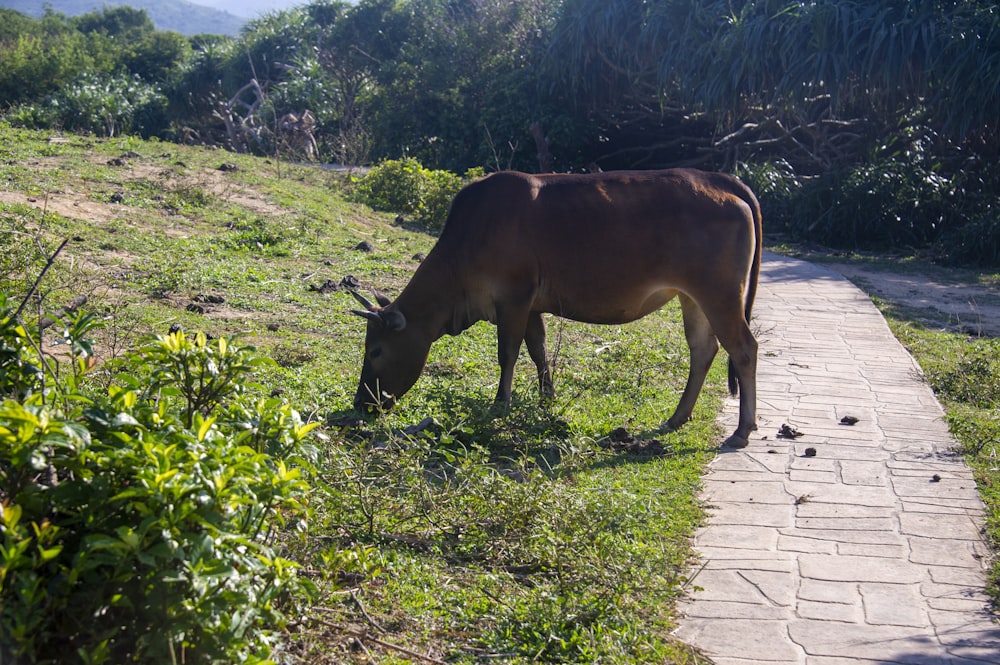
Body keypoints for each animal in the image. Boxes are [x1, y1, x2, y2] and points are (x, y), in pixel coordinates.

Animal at [348, 167, 760, 446]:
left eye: (376, 350)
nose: (362, 404)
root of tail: (717, 179)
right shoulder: (532, 306)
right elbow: (538, 350)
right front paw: (547, 397)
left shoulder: (513, 297)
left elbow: (508, 353)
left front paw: (500, 404)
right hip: (693, 298)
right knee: (702, 350)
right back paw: (677, 418)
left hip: (720, 295)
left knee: (744, 349)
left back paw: (742, 430)